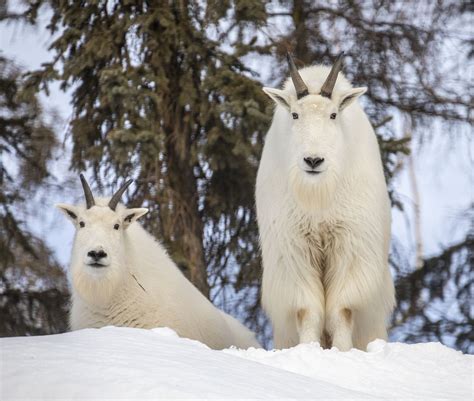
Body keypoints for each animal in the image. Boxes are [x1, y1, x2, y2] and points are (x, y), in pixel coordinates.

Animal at [258, 54, 394, 350]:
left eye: (333, 115)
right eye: (295, 114)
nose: (313, 160)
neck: (318, 196)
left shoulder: (349, 243)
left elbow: (342, 309)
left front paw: (342, 351)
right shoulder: (294, 246)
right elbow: (307, 310)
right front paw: (308, 350)